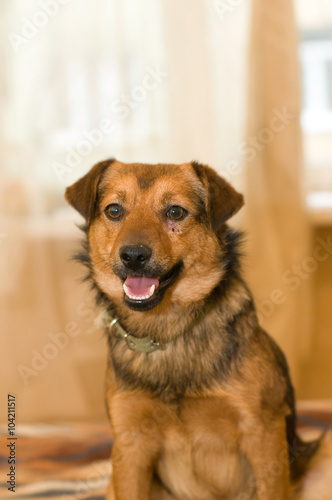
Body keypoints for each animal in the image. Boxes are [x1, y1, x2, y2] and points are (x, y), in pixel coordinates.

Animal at [65, 159, 332, 500]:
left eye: (175, 212)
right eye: (114, 211)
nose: (133, 255)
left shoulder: (263, 433)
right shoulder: (129, 443)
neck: (168, 334)